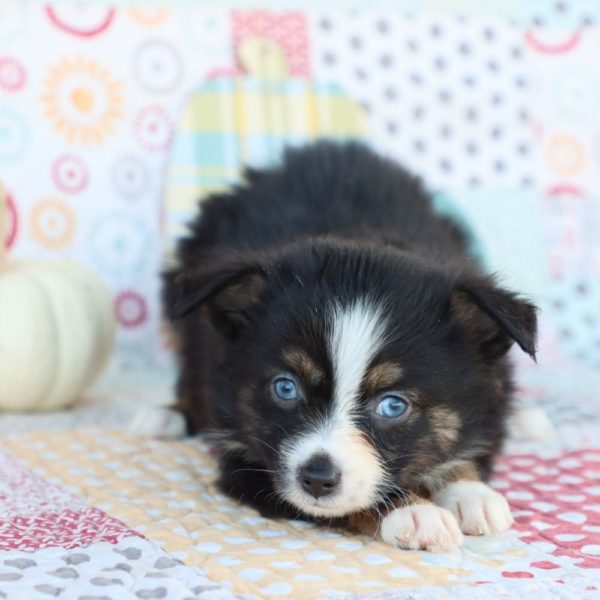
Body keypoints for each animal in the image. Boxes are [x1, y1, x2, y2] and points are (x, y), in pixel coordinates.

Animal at [146, 142, 540, 552]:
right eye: (285, 387)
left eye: (393, 405)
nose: (317, 478)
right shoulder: (250, 465)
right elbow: (348, 505)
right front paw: (415, 512)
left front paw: (470, 493)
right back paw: (166, 416)